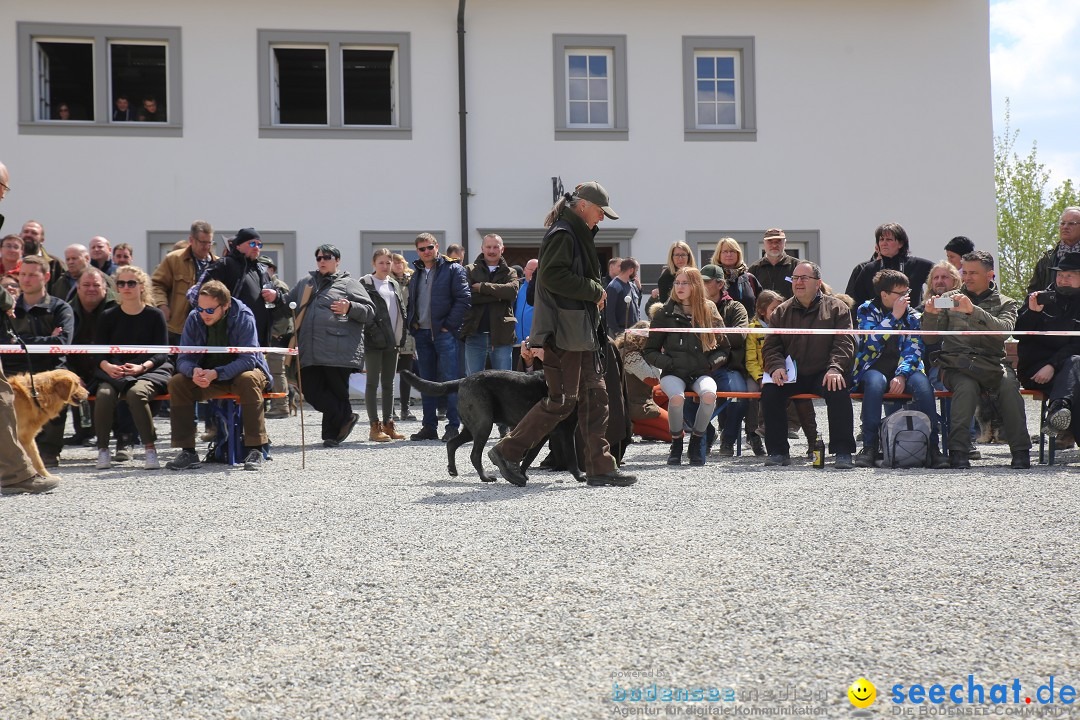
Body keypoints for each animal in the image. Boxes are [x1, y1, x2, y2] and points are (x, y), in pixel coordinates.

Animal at [401, 371, 583, 483]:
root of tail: (463, 380)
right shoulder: (566, 432)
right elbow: (572, 457)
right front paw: (580, 476)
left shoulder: (543, 434)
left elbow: (529, 456)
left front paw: (519, 474)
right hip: (484, 425)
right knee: (474, 455)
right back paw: (485, 477)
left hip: (472, 428)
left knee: (452, 444)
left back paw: (453, 470)